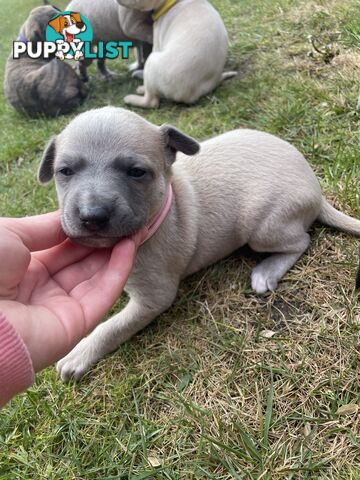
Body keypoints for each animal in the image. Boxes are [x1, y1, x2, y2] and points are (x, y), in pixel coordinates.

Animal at [37, 107, 360, 380]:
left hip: (262, 227)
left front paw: (80, 353)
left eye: (136, 172)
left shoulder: (154, 298)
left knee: (301, 240)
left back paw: (267, 271)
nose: (92, 216)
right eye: (65, 171)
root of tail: (316, 190)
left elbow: (112, 327)